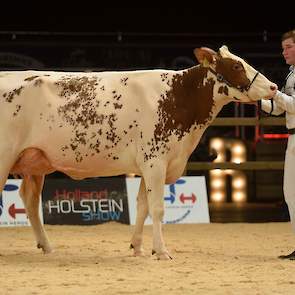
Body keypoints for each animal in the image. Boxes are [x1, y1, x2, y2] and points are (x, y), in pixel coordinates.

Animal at [0, 45, 278, 260]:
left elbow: (142, 206)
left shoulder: (150, 164)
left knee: (30, 201)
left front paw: (138, 248)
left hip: (34, 162)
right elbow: (157, 208)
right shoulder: (156, 161)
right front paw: (162, 251)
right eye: (237, 66)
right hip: (5, 158)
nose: (274, 87)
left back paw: (47, 247)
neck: (177, 96)